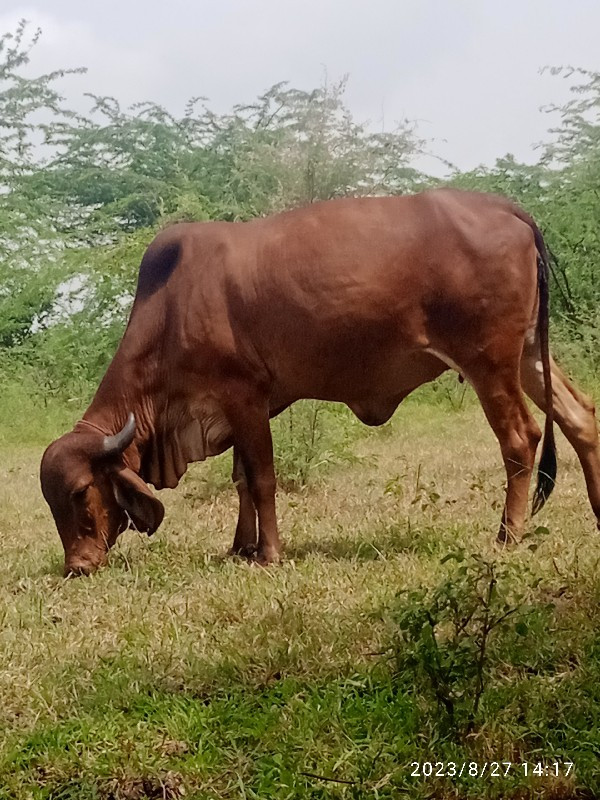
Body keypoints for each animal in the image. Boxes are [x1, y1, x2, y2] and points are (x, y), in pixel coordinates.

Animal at [39, 189, 596, 576]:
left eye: (81, 493)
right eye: (52, 502)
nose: (77, 566)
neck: (171, 308)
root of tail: (504, 207)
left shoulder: (245, 395)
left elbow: (262, 479)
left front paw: (268, 554)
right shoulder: (239, 408)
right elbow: (241, 479)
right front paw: (240, 547)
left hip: (489, 361)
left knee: (521, 439)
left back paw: (507, 535)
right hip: (529, 353)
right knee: (580, 417)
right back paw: (594, 508)